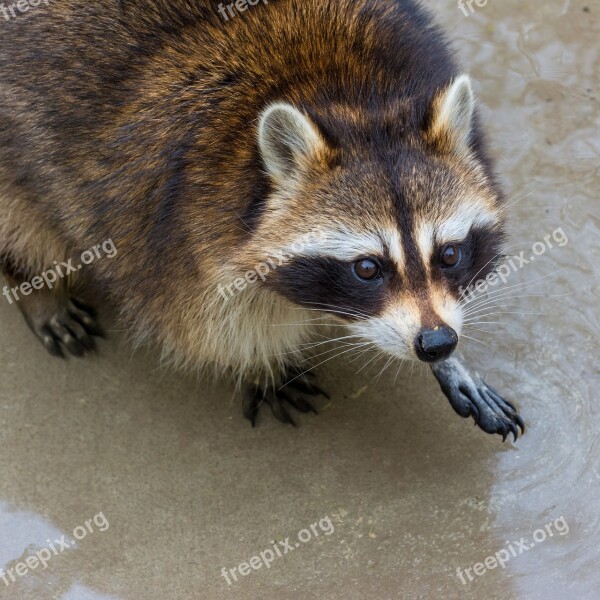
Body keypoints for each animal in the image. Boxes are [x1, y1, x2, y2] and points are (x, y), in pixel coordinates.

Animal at [0, 0, 524, 440]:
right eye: (367, 268)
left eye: (450, 254)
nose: (435, 343)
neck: (347, 96)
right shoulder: (170, 216)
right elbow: (208, 323)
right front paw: (259, 364)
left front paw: (452, 362)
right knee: (22, 219)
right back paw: (33, 285)